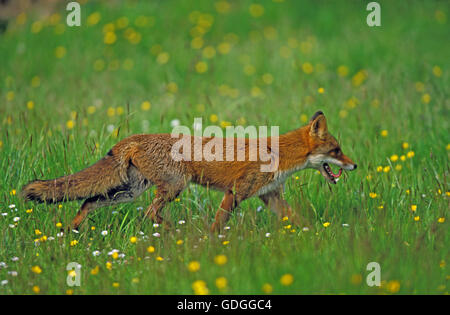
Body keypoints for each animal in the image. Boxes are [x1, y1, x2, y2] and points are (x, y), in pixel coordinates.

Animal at [22, 111, 358, 232]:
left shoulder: (270, 197)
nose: (355, 165)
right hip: (174, 186)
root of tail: (134, 138)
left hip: (129, 192)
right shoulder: (235, 193)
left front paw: (316, 239)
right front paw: (210, 247)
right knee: (150, 214)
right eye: (337, 151)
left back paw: (71, 231)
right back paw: (174, 233)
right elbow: (217, 226)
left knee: (88, 201)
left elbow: (300, 221)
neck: (281, 154)